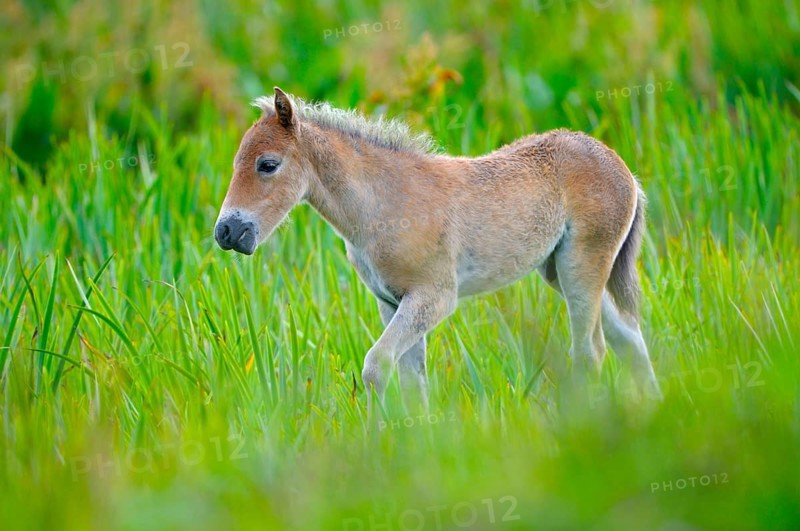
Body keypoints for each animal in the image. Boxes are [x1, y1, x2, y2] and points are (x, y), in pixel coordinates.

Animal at [214, 87, 661, 412]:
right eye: (235, 163)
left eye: (267, 165)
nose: (227, 231)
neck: (381, 203)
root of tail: (624, 169)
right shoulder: (392, 302)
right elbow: (413, 382)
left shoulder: (433, 297)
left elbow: (376, 366)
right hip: (560, 271)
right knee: (628, 339)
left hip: (582, 265)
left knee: (591, 350)